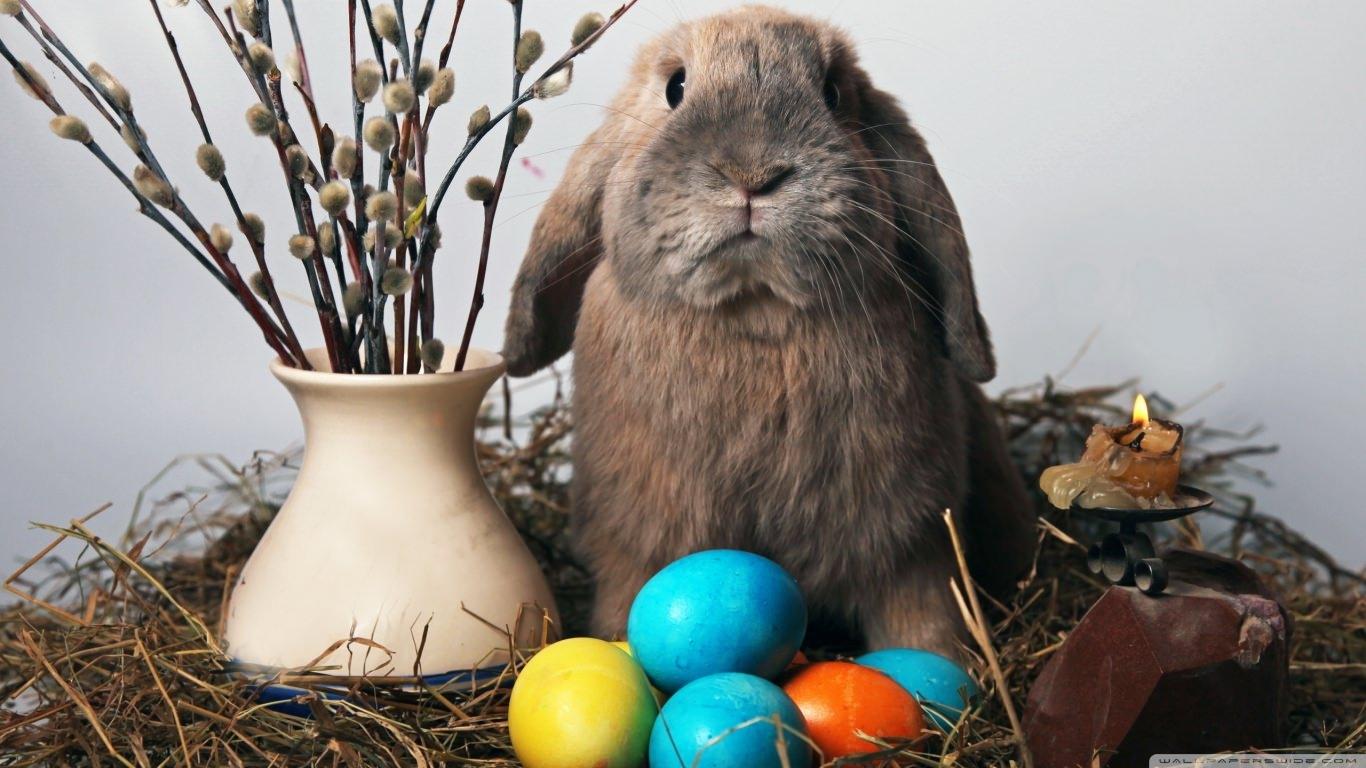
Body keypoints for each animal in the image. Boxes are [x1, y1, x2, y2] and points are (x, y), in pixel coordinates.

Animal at [501, 5, 1036, 657]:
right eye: (675, 87)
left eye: (834, 93)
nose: (752, 173)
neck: (755, 313)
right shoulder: (637, 550)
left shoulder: (913, 551)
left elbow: (924, 620)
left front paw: (944, 672)